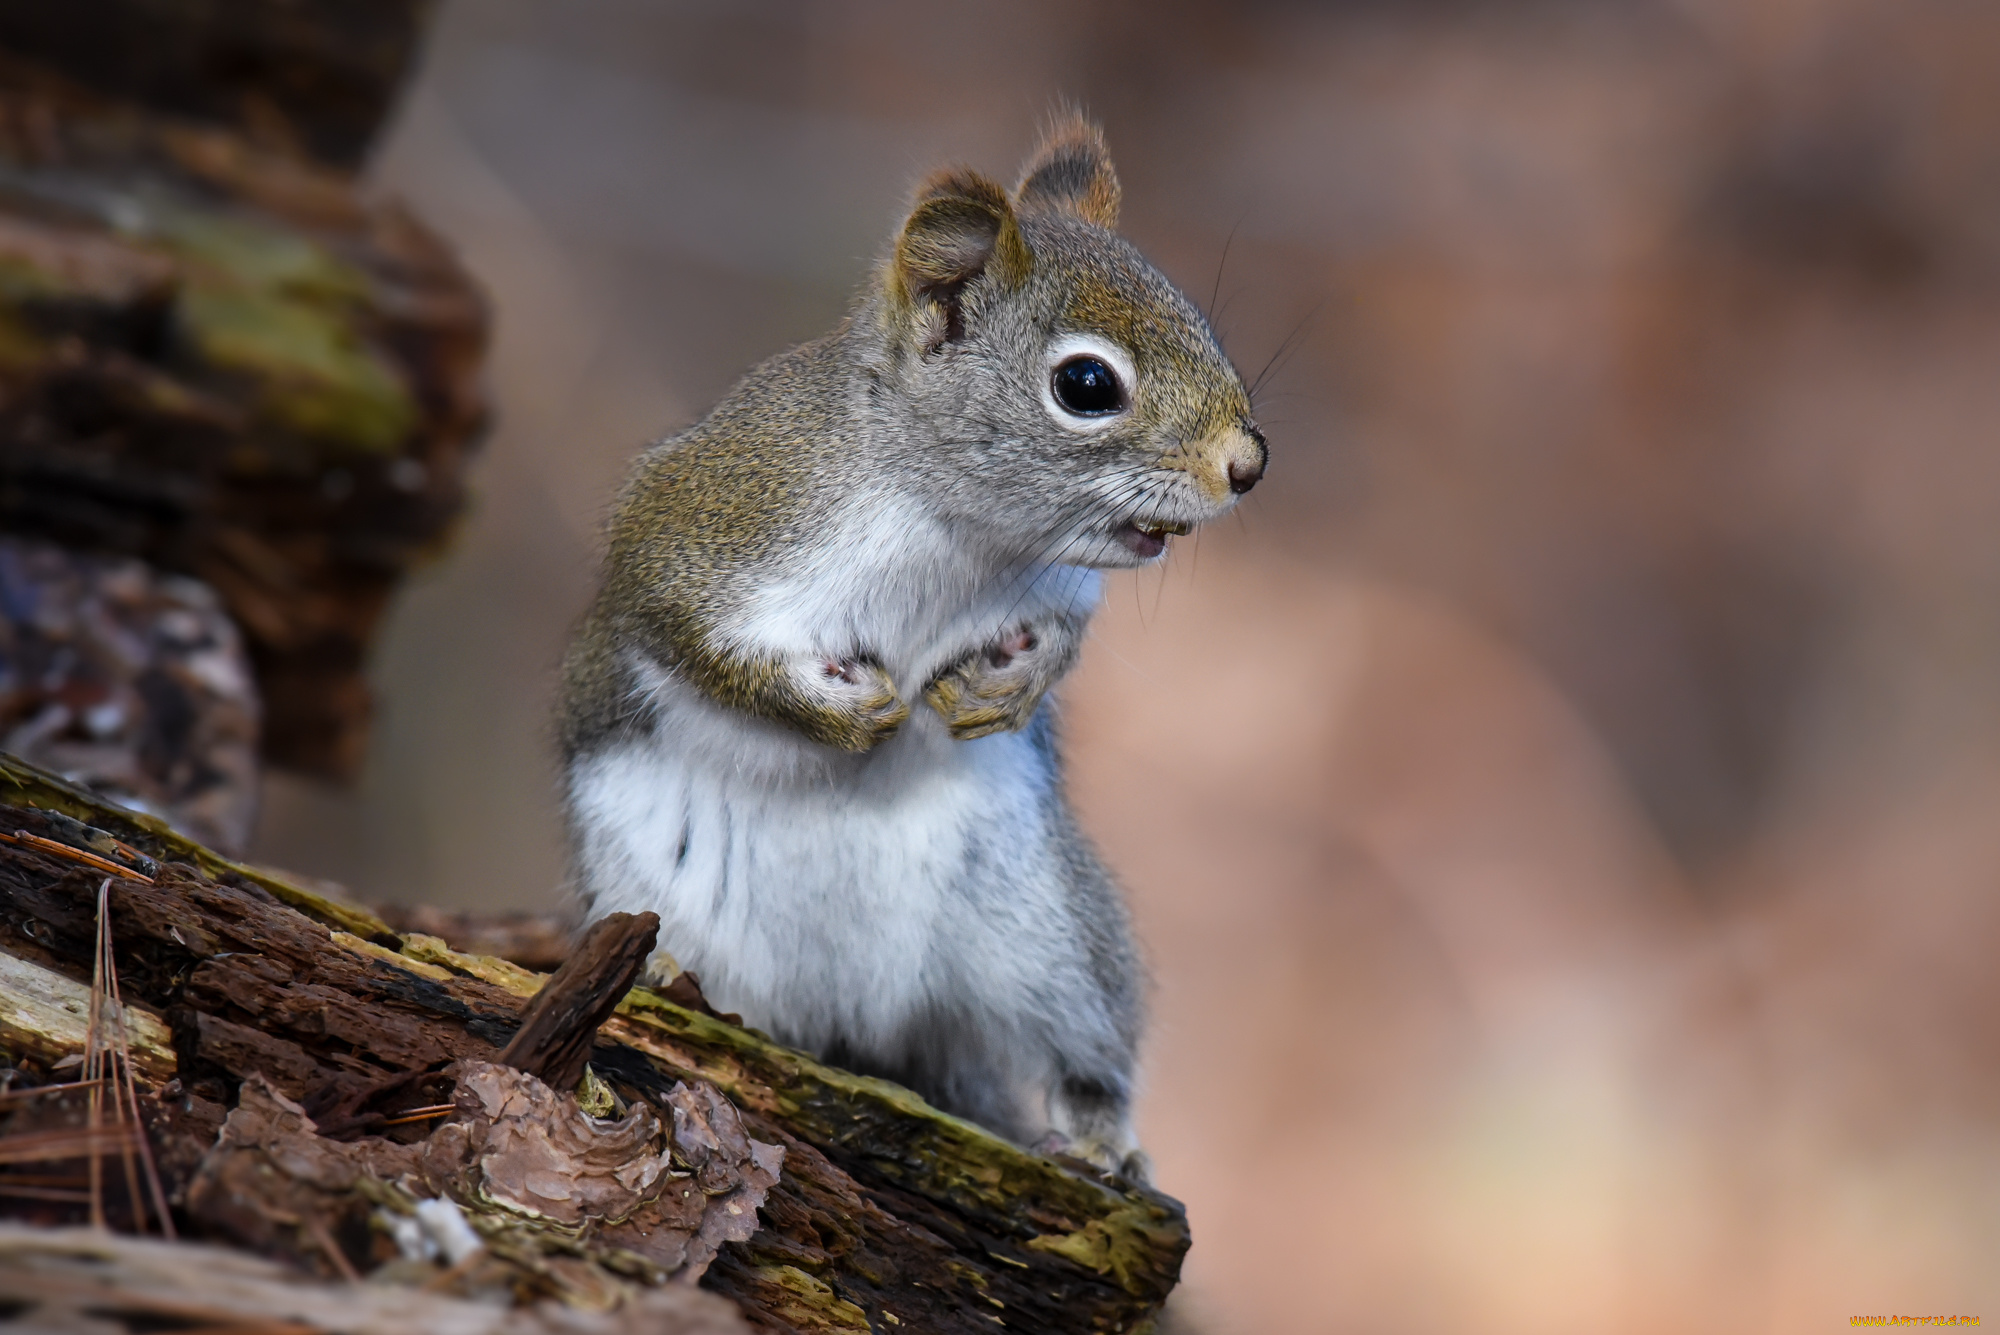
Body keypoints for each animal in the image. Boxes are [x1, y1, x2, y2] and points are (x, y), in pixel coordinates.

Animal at [556, 117, 1256, 1175]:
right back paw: (672, 972)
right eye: (1086, 384)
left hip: (1051, 935)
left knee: (1082, 1046)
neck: (955, 529)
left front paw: (1012, 687)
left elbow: (1065, 635)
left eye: (1199, 321)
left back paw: (1102, 1137)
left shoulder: (1056, 585)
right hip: (644, 866)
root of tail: (861, 1012)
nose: (1248, 463)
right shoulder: (700, 530)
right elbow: (691, 640)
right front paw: (843, 715)